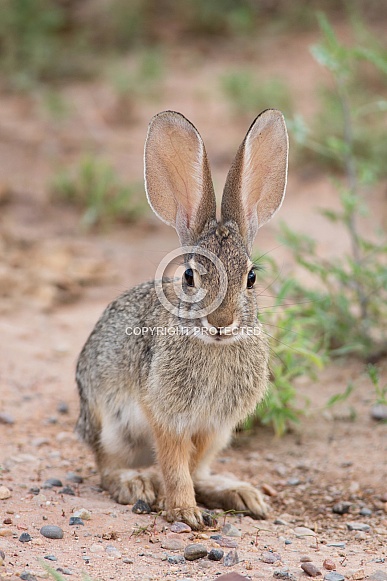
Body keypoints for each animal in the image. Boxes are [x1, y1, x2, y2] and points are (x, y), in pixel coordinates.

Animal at [75, 106, 288, 528]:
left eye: (251, 278)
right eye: (190, 276)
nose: (221, 322)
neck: (214, 346)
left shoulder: (212, 426)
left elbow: (190, 465)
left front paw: (191, 504)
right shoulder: (166, 416)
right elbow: (175, 464)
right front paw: (184, 511)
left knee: (201, 469)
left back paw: (239, 493)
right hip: (111, 426)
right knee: (107, 468)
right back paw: (137, 484)